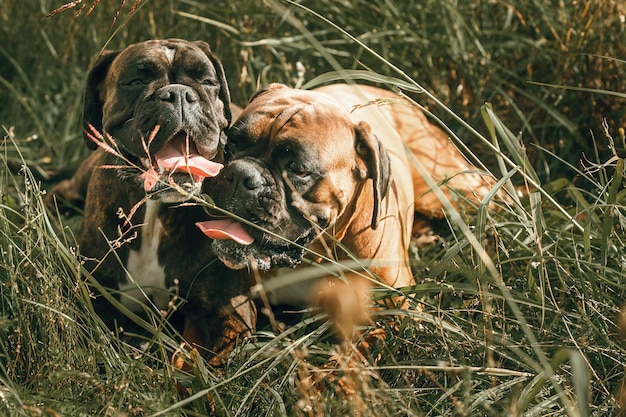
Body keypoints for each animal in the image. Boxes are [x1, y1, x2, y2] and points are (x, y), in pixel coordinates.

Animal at [46, 39, 255, 364]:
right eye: (135, 81)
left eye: (208, 82)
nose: (180, 94)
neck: (156, 209)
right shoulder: (93, 297)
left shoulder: (233, 315)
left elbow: (212, 367)